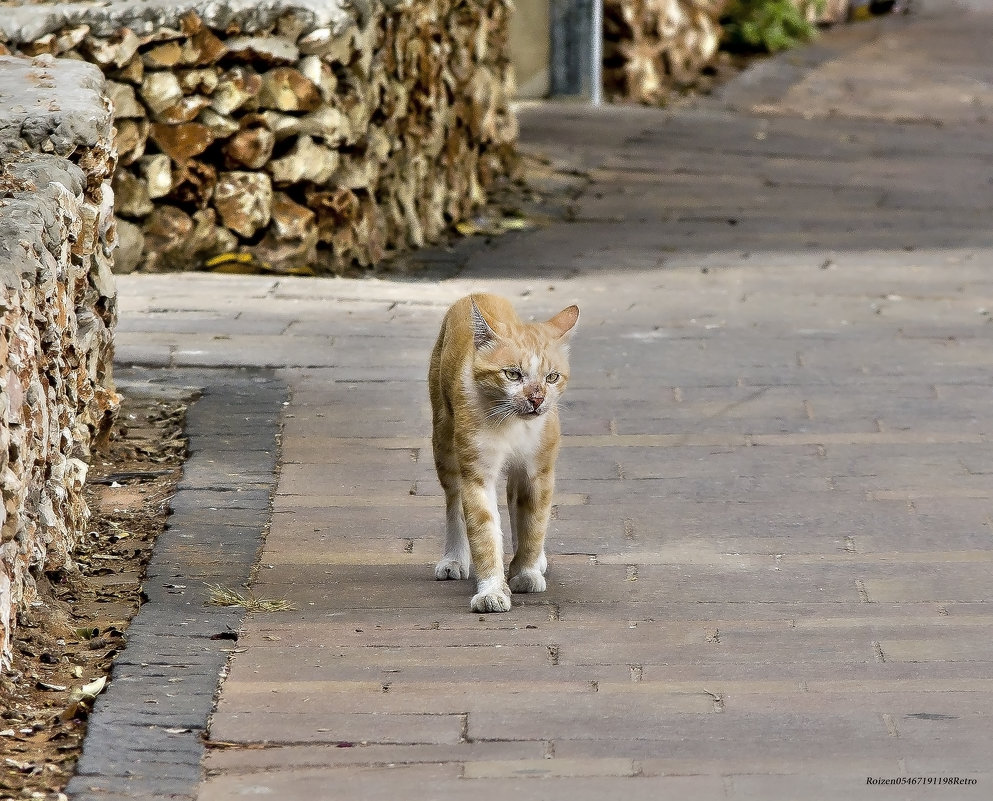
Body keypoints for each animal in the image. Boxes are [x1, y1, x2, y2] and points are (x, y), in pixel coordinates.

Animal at [428, 294, 580, 612]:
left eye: (552, 377)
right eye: (512, 374)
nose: (537, 399)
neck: (514, 425)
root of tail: (477, 294)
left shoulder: (538, 471)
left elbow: (533, 523)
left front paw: (526, 572)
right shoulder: (477, 471)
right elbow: (484, 531)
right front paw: (492, 591)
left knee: (514, 501)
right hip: (444, 439)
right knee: (453, 501)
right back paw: (453, 558)